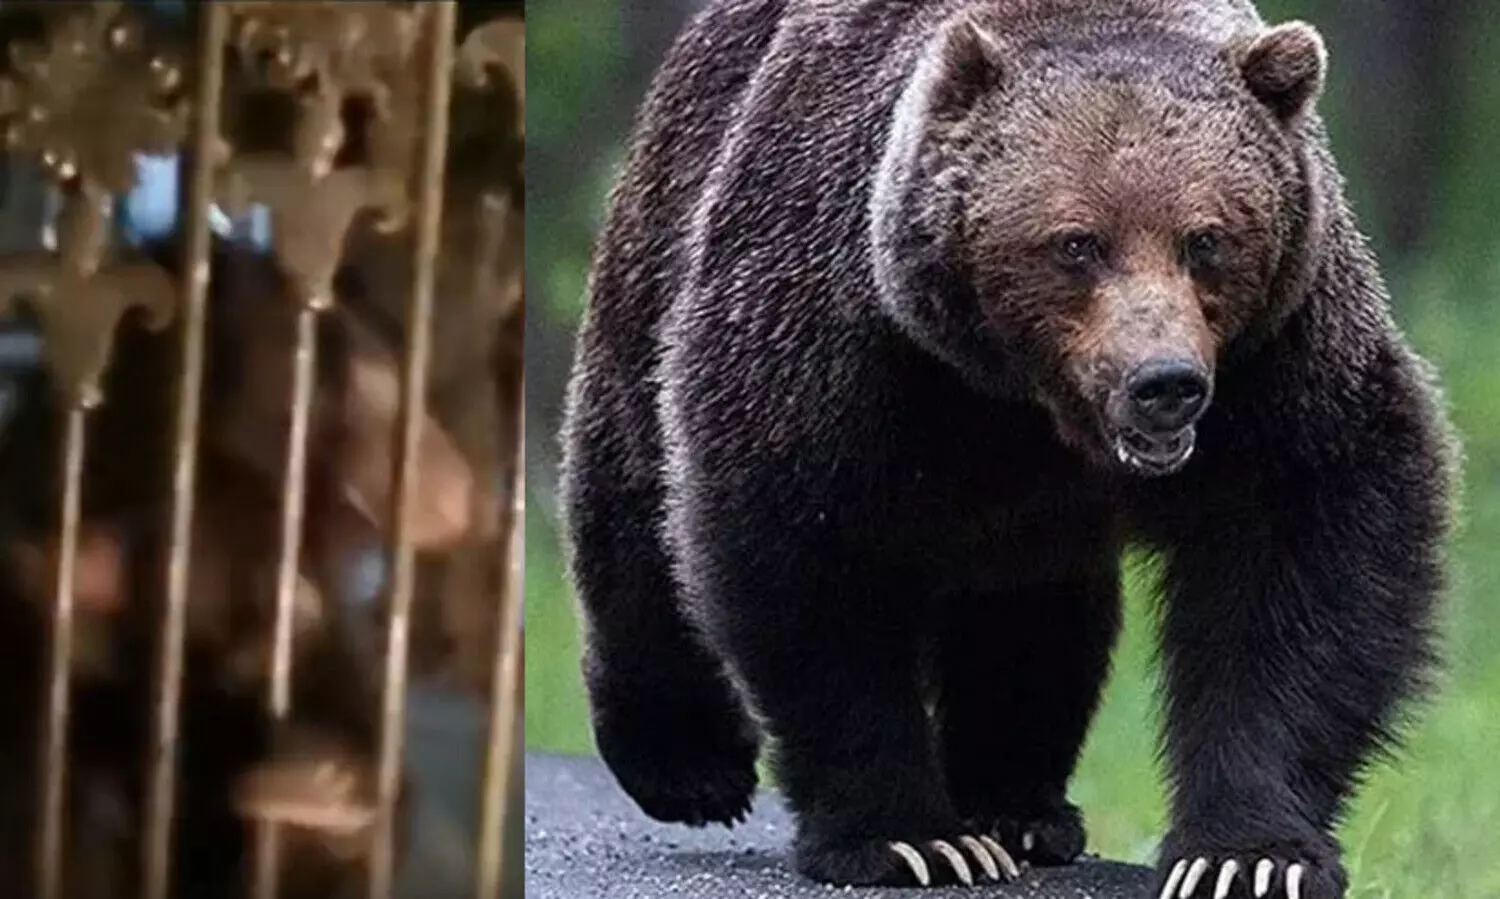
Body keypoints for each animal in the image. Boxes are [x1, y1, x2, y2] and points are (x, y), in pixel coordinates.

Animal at [559, 0, 1456, 896]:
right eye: (1077, 241)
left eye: (1206, 238)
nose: (1164, 381)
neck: (1024, 400)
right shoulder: (841, 338)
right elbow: (807, 555)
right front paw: (911, 838)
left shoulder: (1278, 360)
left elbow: (1305, 549)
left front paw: (1250, 853)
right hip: (664, 245)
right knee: (634, 510)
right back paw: (686, 763)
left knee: (1030, 616)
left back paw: (1017, 804)